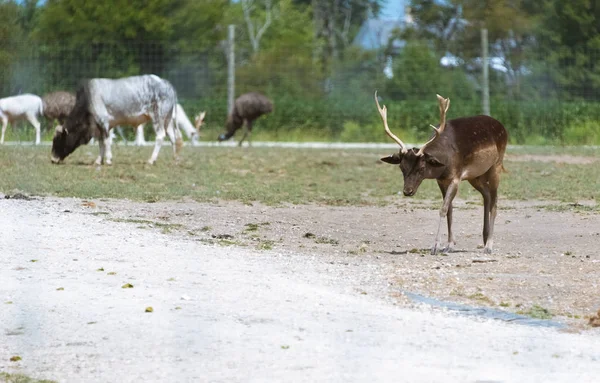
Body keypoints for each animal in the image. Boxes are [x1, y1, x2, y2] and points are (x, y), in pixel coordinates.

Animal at [378, 92, 508, 255]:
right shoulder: (441, 180)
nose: (407, 191)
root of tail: (503, 127)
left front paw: (435, 246)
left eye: (421, 168)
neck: (444, 162)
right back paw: (484, 238)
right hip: (475, 175)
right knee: (487, 196)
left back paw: (489, 245)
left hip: (496, 165)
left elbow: (443, 209)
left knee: (495, 202)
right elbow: (450, 210)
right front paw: (449, 245)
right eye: (401, 167)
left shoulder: (456, 177)